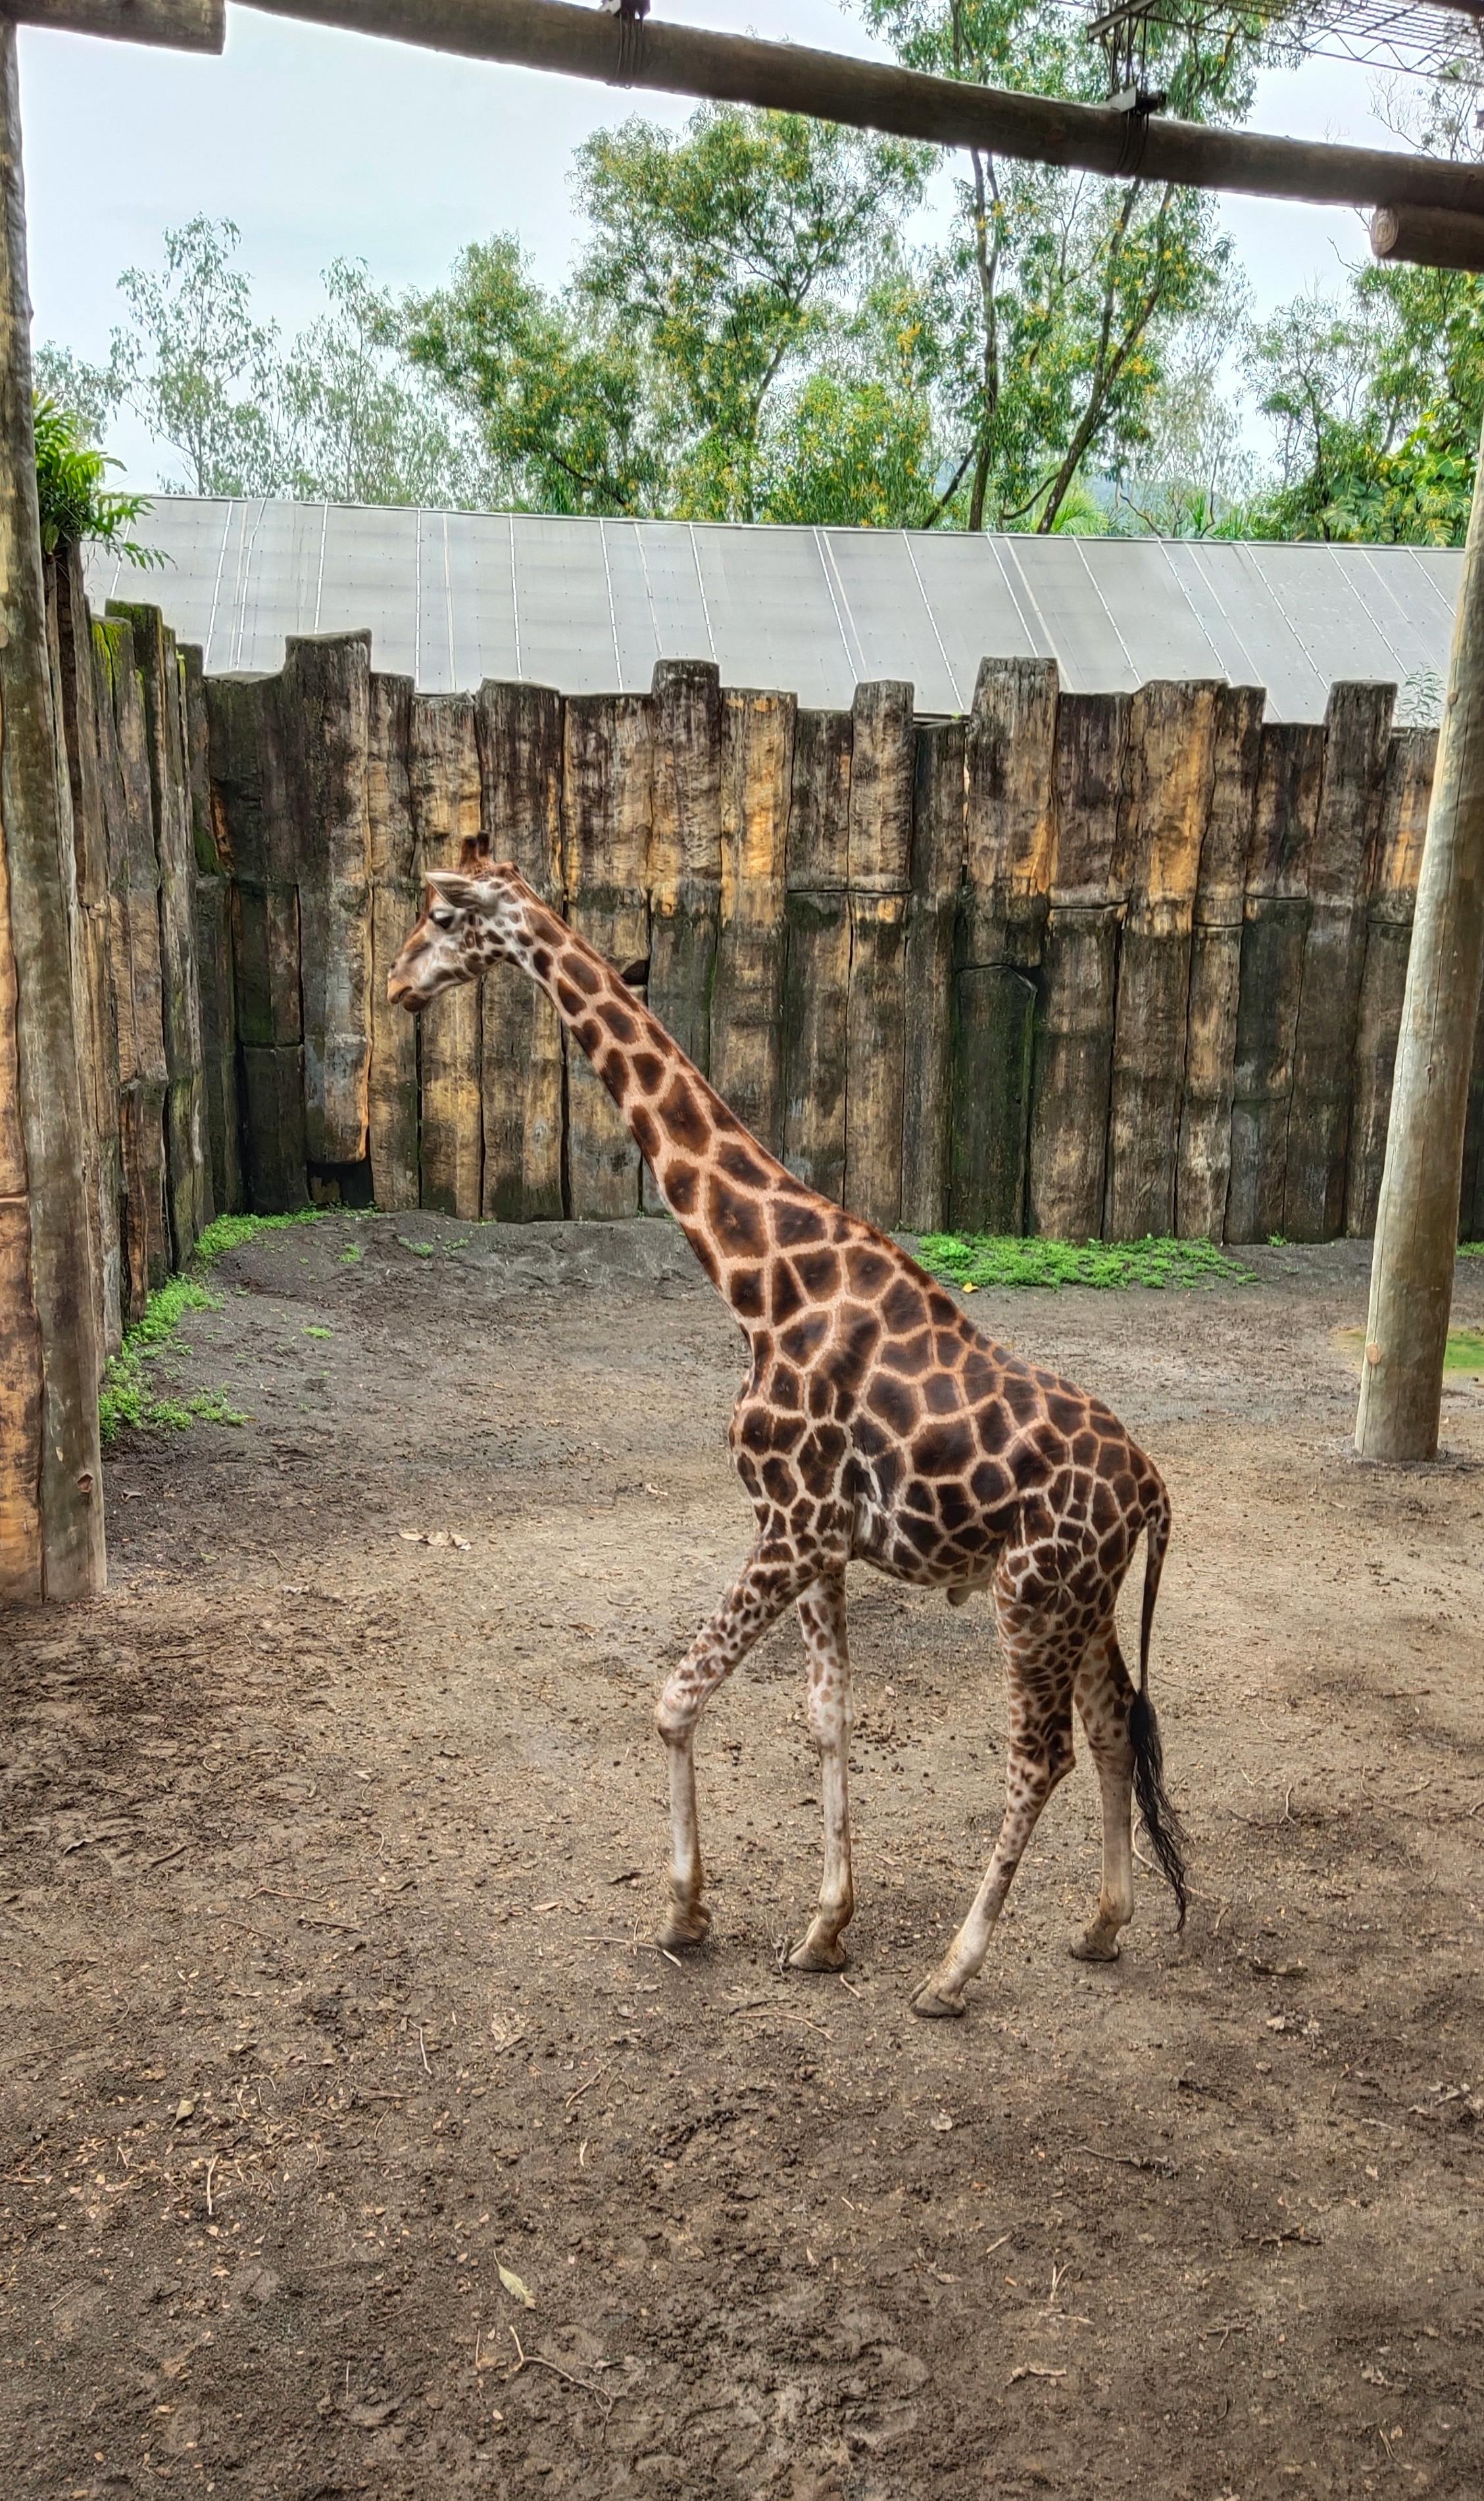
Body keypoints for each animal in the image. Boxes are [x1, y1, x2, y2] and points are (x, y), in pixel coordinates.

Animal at [387, 849, 1188, 2017]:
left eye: (444, 916)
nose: (398, 983)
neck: (758, 1281)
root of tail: (1152, 1488)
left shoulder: (792, 1522)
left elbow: (676, 1700)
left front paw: (685, 1913)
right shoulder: (822, 1540)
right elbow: (826, 1716)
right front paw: (823, 1929)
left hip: (1031, 1595)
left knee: (1040, 1757)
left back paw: (953, 1972)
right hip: (1085, 1600)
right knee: (1116, 1722)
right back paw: (1100, 1926)